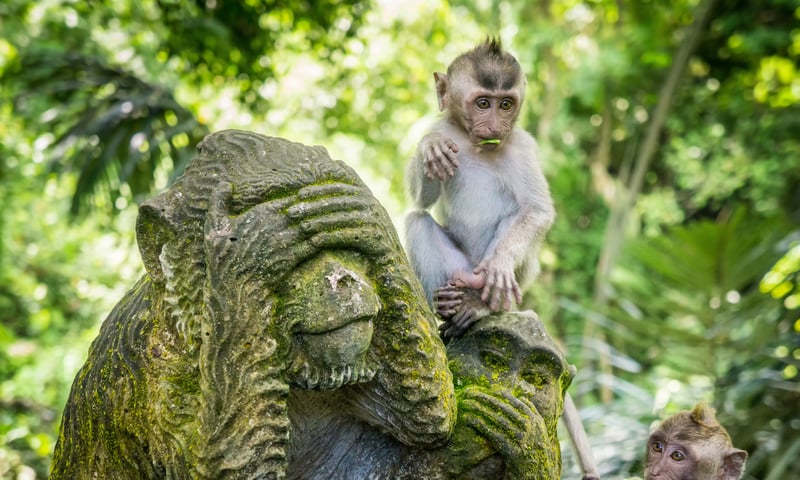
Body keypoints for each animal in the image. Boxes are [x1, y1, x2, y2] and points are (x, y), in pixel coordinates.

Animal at [404, 38, 556, 339]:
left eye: (506, 104)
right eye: (483, 103)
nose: (496, 126)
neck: (475, 145)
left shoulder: (522, 147)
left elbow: (538, 210)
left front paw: (501, 263)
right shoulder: (442, 127)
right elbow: (421, 200)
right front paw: (430, 146)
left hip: (504, 276)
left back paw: (483, 305)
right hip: (457, 267)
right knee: (416, 220)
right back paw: (444, 303)